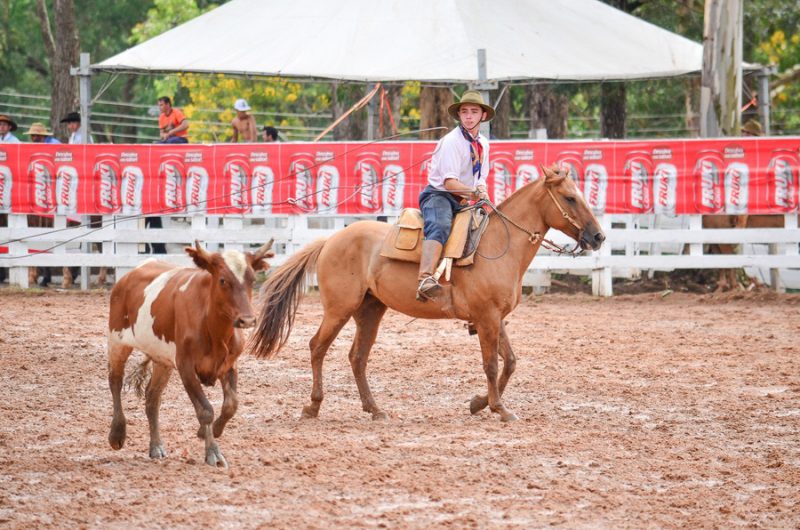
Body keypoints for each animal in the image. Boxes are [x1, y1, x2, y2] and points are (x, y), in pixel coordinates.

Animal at [107, 239, 276, 466]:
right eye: (223, 280)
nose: (247, 320)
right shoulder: (185, 366)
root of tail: (129, 276)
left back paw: (156, 446)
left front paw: (209, 432)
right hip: (117, 340)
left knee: (152, 398)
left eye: (251, 278)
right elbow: (205, 410)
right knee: (115, 381)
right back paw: (117, 433)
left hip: (162, 359)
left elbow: (231, 405)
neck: (213, 328)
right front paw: (213, 452)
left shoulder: (229, 364)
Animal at [253, 165, 604, 420]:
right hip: (339, 309)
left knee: (357, 357)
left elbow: (510, 362)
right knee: (317, 347)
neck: (497, 246)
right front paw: (499, 409)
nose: (598, 237)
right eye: (570, 198)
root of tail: (330, 240)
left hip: (370, 311)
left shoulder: (496, 318)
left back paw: (375, 409)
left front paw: (479, 403)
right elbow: (491, 364)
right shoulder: (487, 318)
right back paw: (312, 406)